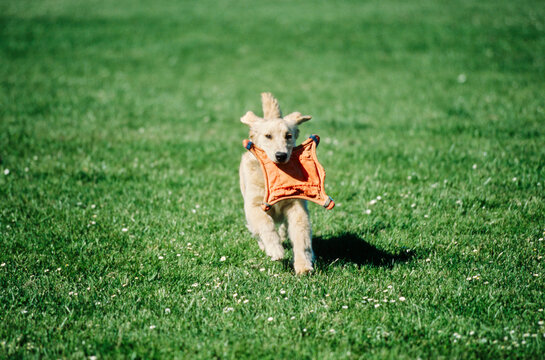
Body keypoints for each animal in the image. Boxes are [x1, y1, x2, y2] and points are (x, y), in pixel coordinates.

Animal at [239, 93, 312, 276]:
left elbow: (301, 236)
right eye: (268, 136)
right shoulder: (253, 205)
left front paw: (303, 265)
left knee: (285, 227)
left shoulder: (297, 206)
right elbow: (265, 224)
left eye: (288, 136)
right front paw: (275, 250)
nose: (281, 155)